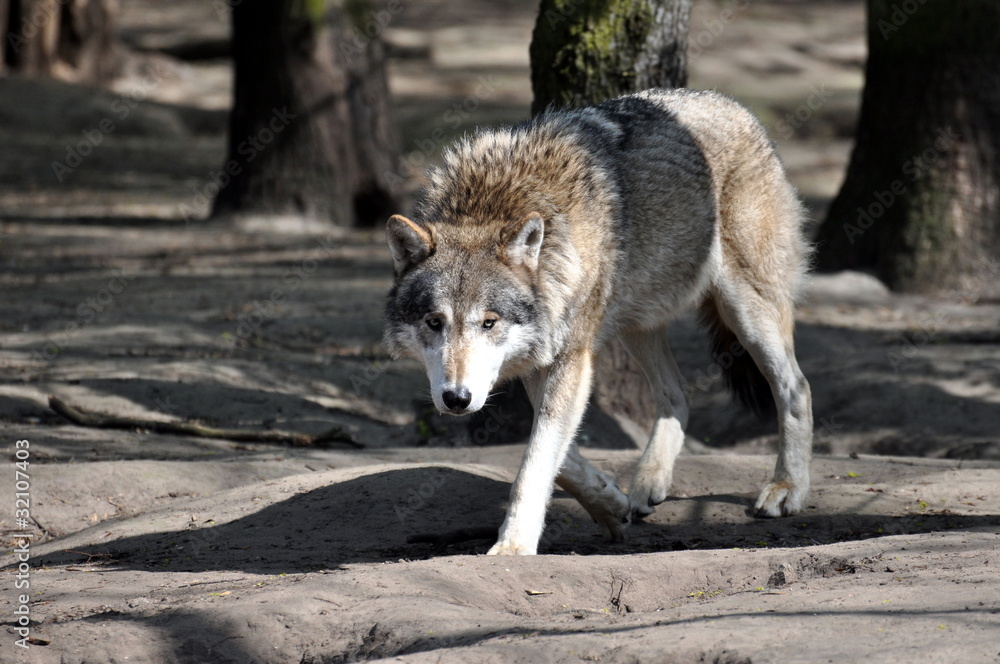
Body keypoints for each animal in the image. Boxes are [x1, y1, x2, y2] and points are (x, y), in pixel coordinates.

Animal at [384, 88, 813, 555]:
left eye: (489, 323)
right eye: (434, 321)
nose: (456, 399)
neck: (491, 203)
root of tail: (732, 104)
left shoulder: (571, 357)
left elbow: (536, 461)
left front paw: (514, 545)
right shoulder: (543, 358)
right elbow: (557, 455)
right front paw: (609, 502)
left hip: (746, 312)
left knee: (796, 387)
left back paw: (787, 488)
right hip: (636, 322)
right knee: (677, 392)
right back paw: (648, 481)